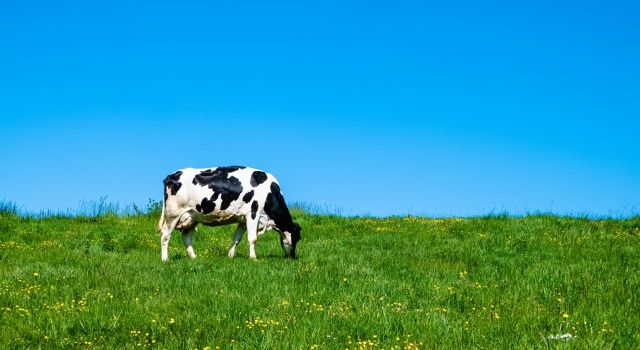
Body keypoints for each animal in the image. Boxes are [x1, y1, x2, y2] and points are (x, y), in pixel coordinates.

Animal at [158, 165, 302, 262]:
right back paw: (165, 259)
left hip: (192, 217)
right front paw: (253, 258)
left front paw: (231, 256)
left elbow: (236, 239)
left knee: (186, 237)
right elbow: (252, 239)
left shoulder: (243, 220)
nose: (293, 257)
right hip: (173, 214)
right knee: (165, 235)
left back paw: (194, 257)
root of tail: (171, 176)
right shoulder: (253, 213)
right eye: (298, 237)